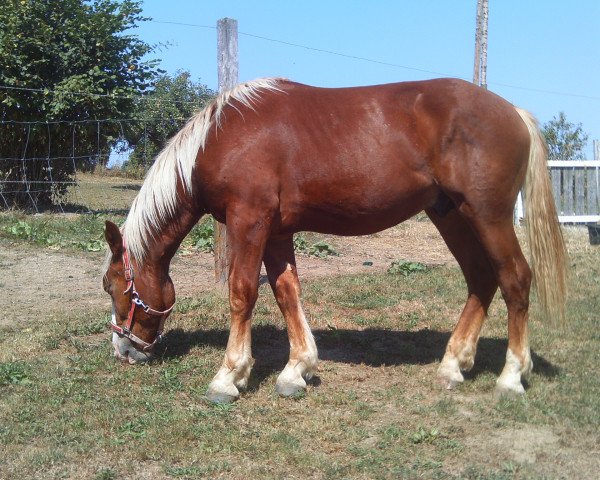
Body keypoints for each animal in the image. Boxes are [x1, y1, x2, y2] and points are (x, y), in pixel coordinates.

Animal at [102, 78, 568, 402]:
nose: (122, 349)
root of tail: (513, 112)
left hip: (488, 217)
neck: (219, 138)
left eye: (110, 286)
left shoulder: (249, 221)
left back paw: (511, 376)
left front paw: (229, 376)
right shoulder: (277, 231)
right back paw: (454, 364)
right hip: (451, 216)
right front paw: (297, 369)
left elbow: (242, 292)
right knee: (480, 279)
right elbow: (287, 292)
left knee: (515, 279)